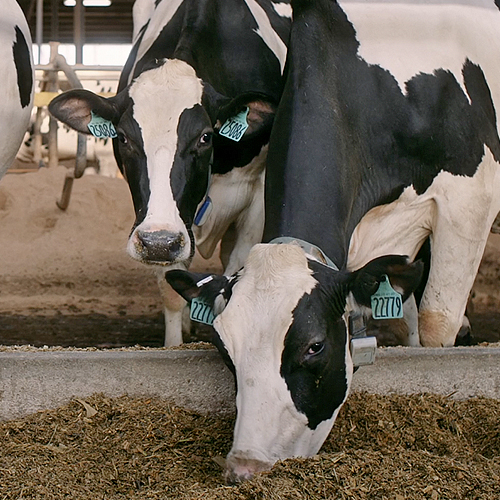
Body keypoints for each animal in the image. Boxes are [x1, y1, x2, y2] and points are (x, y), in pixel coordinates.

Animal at [48, 0, 292, 344]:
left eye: (205, 137)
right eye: (123, 138)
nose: (158, 242)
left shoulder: (257, 192)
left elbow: (237, 268)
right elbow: (171, 288)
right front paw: (175, 344)